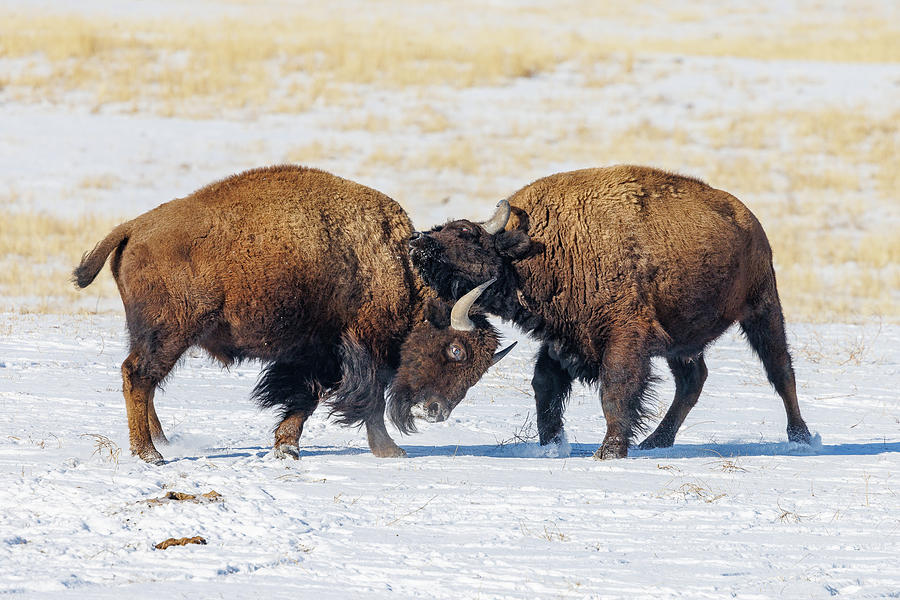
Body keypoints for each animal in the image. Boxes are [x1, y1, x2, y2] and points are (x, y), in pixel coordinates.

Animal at [74, 164, 512, 464]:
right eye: (456, 351)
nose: (437, 411)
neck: (397, 269)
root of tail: (133, 227)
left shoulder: (314, 355)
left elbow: (305, 399)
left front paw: (287, 447)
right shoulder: (358, 353)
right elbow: (359, 402)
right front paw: (390, 451)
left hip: (153, 334)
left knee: (144, 381)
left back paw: (161, 442)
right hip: (170, 333)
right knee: (137, 376)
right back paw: (150, 454)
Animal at [412, 164, 812, 460]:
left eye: (467, 233)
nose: (418, 243)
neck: (539, 249)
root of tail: (748, 219)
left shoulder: (625, 335)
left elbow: (616, 390)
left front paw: (608, 452)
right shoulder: (562, 339)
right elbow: (545, 387)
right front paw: (551, 447)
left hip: (762, 309)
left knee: (780, 370)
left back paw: (802, 438)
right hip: (682, 340)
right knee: (693, 380)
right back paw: (655, 441)